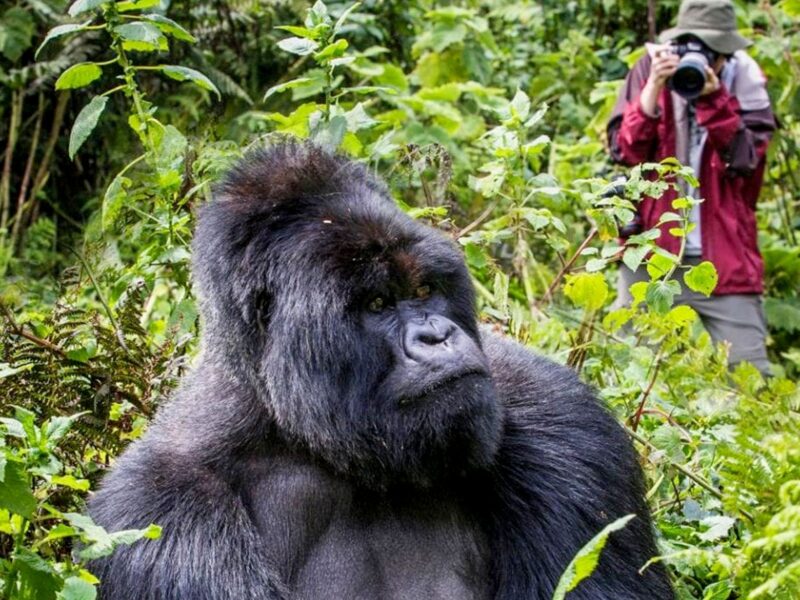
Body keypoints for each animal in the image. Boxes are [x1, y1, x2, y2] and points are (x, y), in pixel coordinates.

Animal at [89, 142, 676, 600]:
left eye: (424, 289)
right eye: (376, 304)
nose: (437, 337)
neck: (305, 438)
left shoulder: (564, 423)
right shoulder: (155, 522)